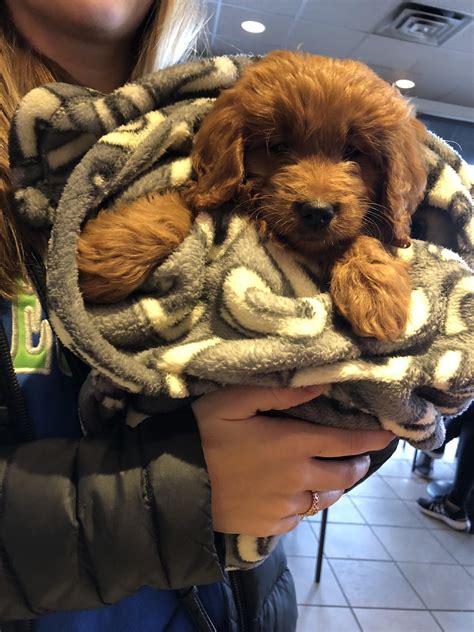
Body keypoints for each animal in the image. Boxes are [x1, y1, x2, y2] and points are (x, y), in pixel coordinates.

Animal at [78, 51, 426, 344]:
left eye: (354, 151)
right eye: (278, 147)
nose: (317, 211)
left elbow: (356, 236)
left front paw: (375, 289)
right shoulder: (210, 186)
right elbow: (183, 201)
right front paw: (111, 252)